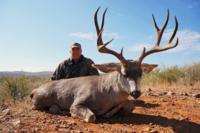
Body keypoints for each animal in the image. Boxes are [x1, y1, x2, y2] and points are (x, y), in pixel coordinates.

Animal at [30, 7, 179, 122]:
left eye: (141, 73)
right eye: (124, 73)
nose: (136, 92)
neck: (105, 93)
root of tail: (34, 90)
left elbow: (129, 105)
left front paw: (110, 112)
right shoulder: (77, 102)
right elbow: (91, 116)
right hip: (41, 99)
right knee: (36, 106)